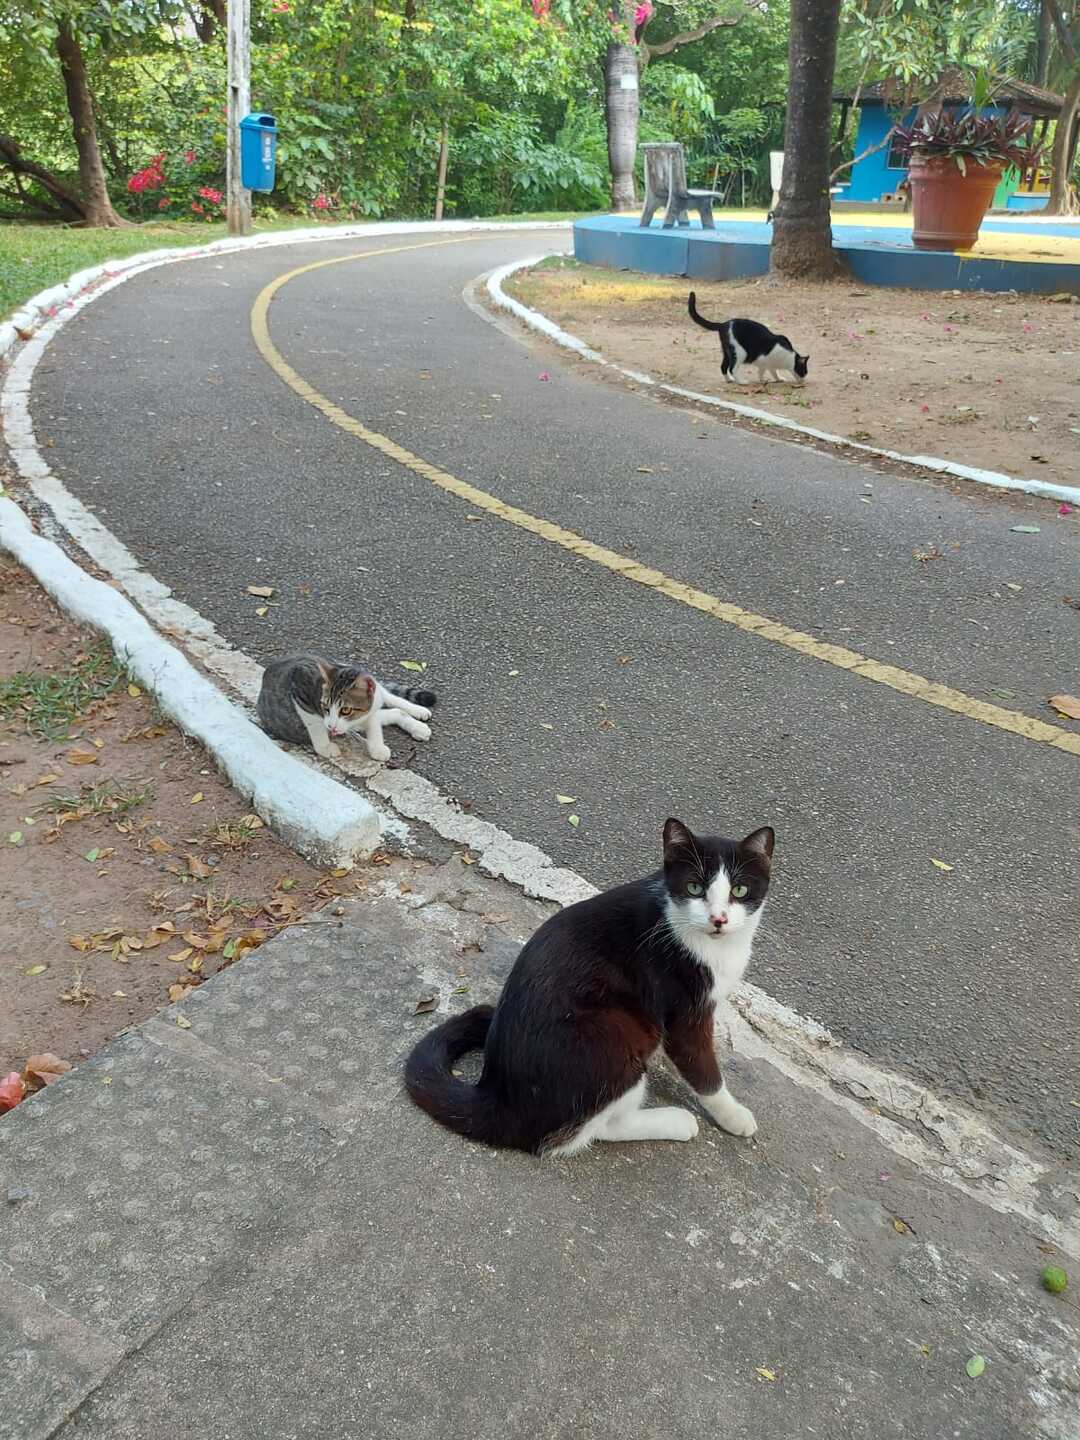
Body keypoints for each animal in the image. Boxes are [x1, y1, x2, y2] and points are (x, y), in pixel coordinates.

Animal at [256, 653, 434, 766]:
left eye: (346, 710)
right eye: (325, 707)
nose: (331, 726)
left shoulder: (368, 710)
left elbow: (374, 721)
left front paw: (376, 746)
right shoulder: (299, 683)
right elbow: (314, 722)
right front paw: (325, 747)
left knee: (389, 698)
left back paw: (418, 713)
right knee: (392, 711)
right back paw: (417, 725)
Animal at [403, 817, 771, 1152]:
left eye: (739, 890)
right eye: (695, 887)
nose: (719, 919)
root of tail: (498, 1097)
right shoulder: (683, 1008)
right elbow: (702, 1067)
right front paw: (733, 1115)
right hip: (616, 1033)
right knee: (592, 1130)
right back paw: (677, 1121)